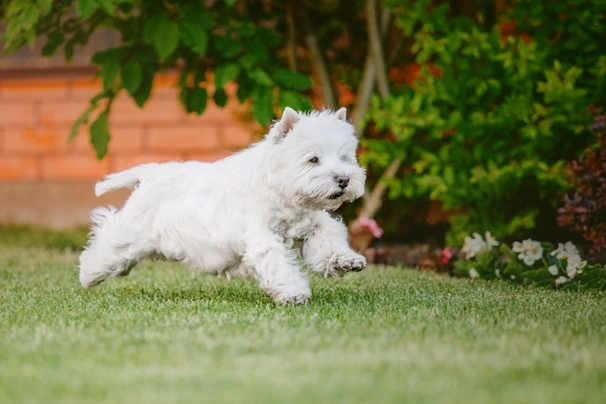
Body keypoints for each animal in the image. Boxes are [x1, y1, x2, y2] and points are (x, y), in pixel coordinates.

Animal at [78, 107, 368, 304]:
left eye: (344, 158)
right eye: (313, 159)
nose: (343, 180)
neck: (281, 193)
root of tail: (149, 173)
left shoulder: (312, 223)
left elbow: (328, 239)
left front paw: (348, 261)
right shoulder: (262, 237)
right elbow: (278, 263)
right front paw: (295, 293)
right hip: (129, 233)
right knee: (105, 243)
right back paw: (87, 275)